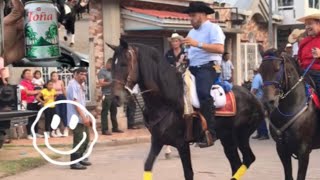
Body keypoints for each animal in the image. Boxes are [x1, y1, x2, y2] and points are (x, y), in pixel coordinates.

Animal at [106, 39, 264, 180]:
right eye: (112, 66)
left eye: (124, 64)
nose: (116, 97)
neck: (167, 101)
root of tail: (253, 97)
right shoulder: (157, 140)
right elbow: (147, 166)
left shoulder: (182, 144)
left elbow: (188, 173)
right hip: (227, 137)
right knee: (237, 163)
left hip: (239, 135)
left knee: (247, 159)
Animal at [260, 49, 320, 180]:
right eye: (260, 70)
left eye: (277, 69)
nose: (267, 102)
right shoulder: (282, 149)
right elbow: (288, 175)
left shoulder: (303, 151)